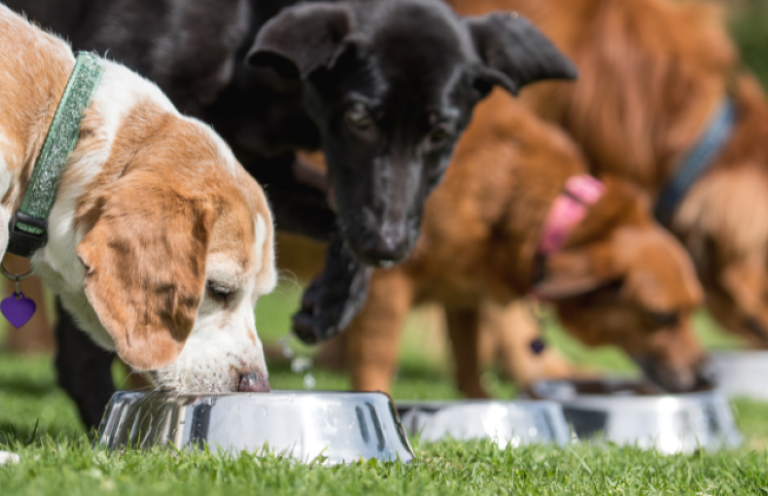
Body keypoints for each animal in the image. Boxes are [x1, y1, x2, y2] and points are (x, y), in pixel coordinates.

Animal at [342, 91, 708, 398]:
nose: (709, 376)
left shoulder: (461, 295)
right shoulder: (386, 283)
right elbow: (377, 361)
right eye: (662, 316)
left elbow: (468, 361)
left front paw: (482, 405)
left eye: (694, 309)